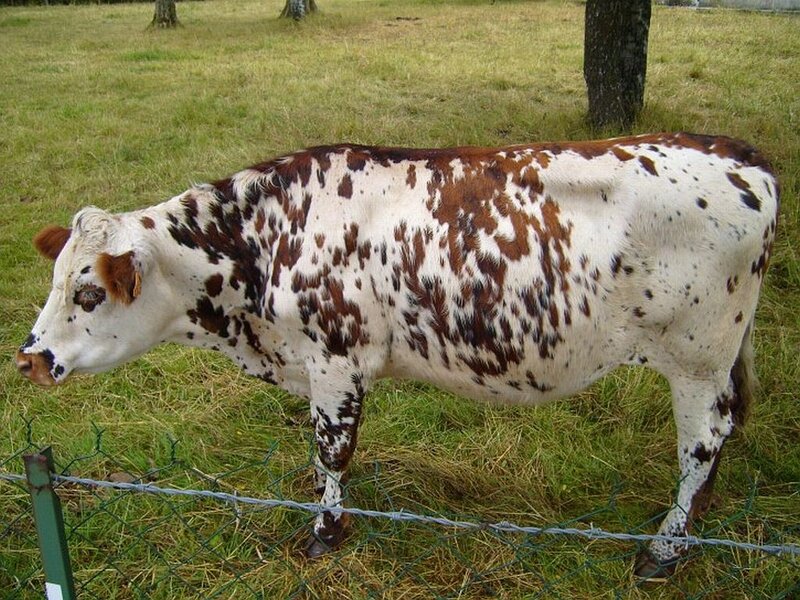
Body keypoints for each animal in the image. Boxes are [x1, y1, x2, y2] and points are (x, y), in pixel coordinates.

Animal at [16, 133, 778, 580]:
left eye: (88, 291)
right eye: (55, 279)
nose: (29, 358)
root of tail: (740, 153)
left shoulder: (333, 357)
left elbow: (331, 453)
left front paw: (326, 532)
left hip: (698, 352)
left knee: (702, 442)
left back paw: (666, 549)